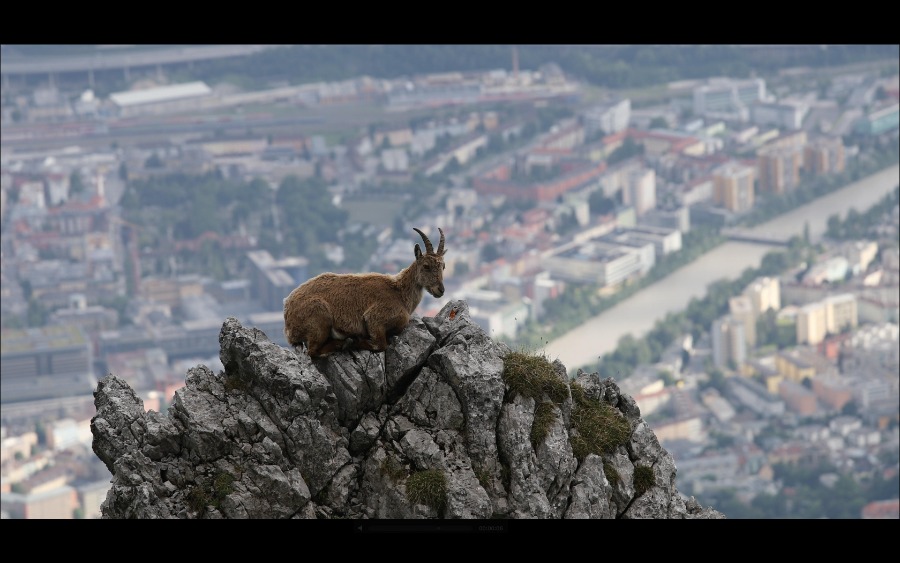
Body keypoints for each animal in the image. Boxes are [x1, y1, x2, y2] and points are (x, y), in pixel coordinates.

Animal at [284, 227, 446, 360]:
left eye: (443, 266)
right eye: (426, 266)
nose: (441, 290)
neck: (399, 293)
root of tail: (287, 314)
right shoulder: (375, 319)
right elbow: (380, 345)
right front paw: (355, 341)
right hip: (320, 317)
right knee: (312, 351)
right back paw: (342, 344)